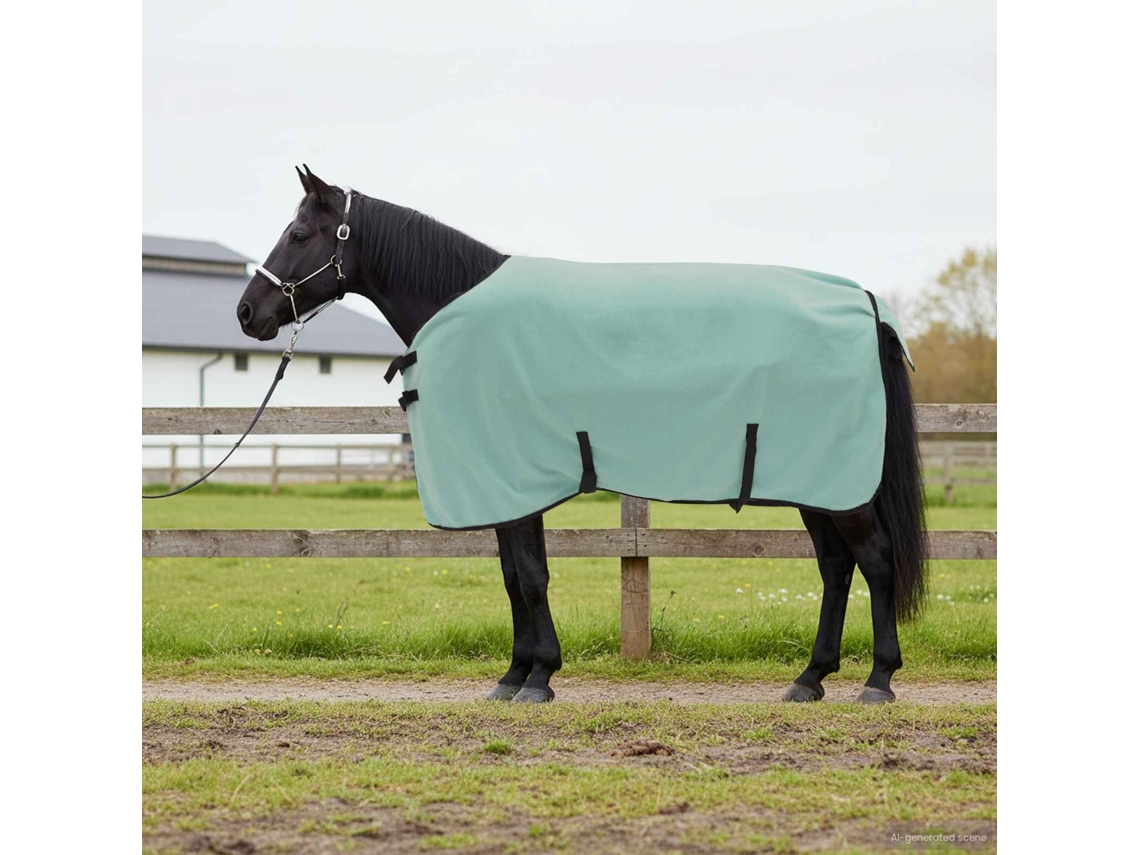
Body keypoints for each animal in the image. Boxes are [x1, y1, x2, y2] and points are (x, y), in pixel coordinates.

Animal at [237, 165, 928, 705]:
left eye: (298, 234)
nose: (248, 313)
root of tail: (865, 304)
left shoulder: (515, 483)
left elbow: (530, 577)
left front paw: (538, 677)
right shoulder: (508, 488)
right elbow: (515, 576)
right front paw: (515, 674)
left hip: (840, 486)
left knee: (876, 560)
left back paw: (878, 680)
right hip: (817, 483)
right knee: (836, 567)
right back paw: (810, 679)